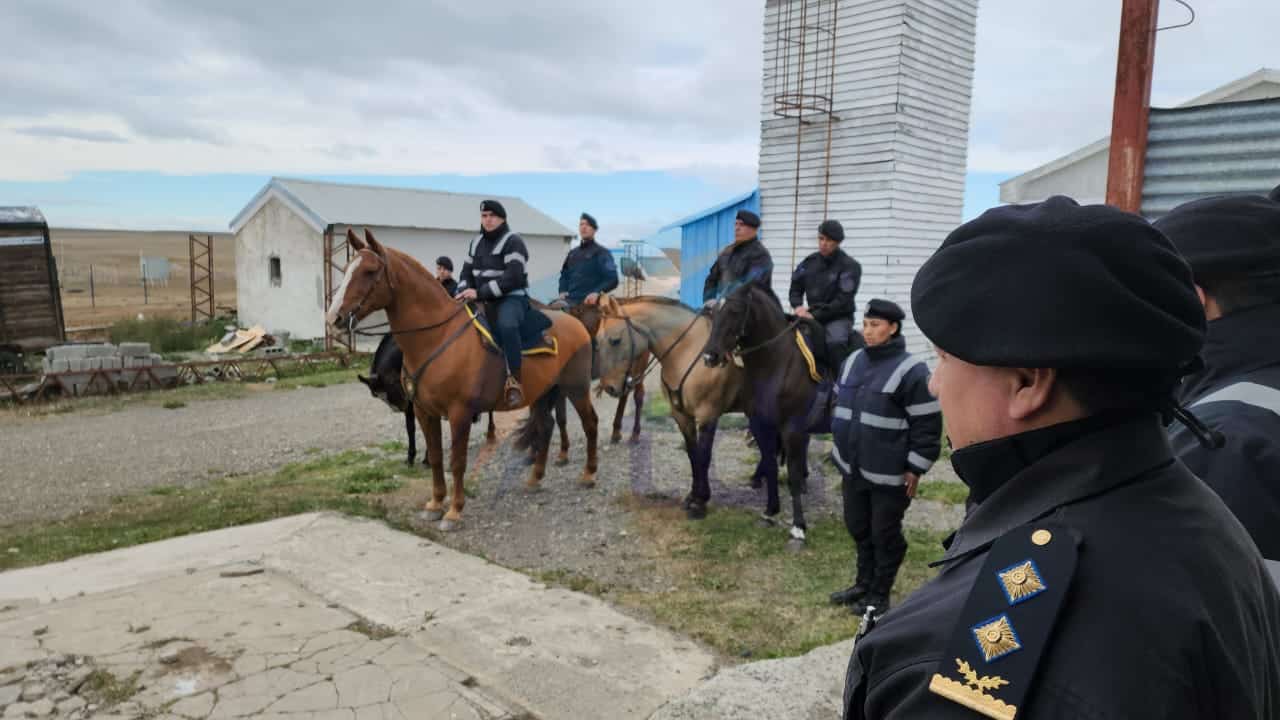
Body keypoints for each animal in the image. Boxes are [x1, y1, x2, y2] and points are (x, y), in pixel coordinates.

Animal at [325, 226, 593, 530]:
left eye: (370, 271)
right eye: (346, 268)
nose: (334, 318)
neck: (437, 336)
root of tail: (575, 322)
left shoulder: (459, 413)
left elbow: (457, 461)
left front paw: (454, 512)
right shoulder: (424, 411)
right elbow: (436, 457)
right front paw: (435, 504)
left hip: (576, 389)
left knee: (590, 423)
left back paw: (588, 475)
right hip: (542, 393)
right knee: (546, 427)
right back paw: (535, 480)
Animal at [701, 283, 829, 545]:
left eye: (735, 312)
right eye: (714, 312)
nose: (710, 356)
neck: (778, 363)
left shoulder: (791, 428)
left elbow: (791, 475)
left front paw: (798, 526)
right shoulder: (762, 424)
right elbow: (770, 464)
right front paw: (770, 511)